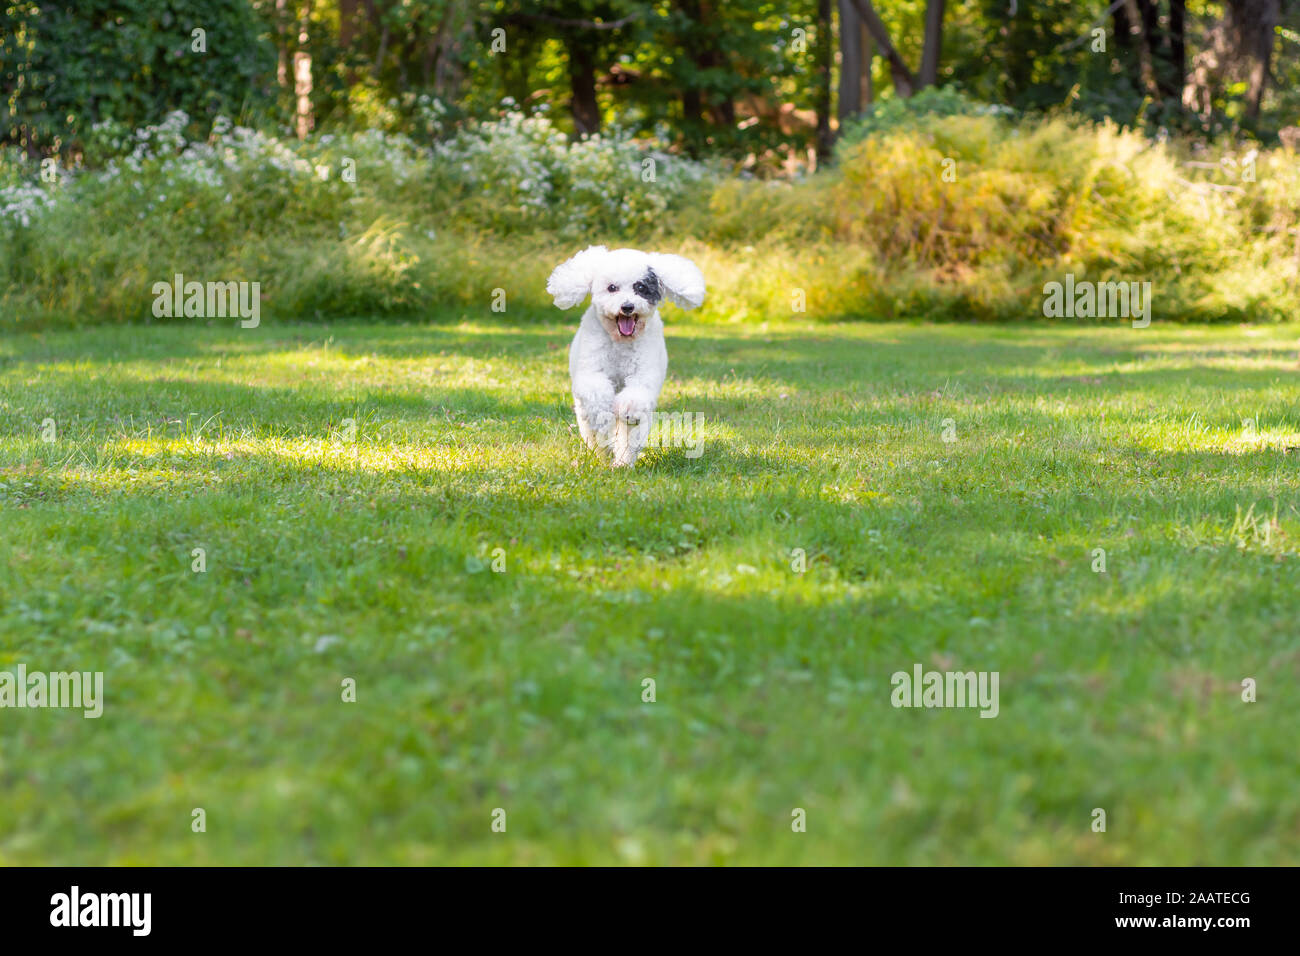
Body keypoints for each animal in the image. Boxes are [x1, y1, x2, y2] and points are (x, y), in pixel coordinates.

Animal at [543, 247, 707, 468]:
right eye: (612, 288)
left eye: (641, 287)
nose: (627, 307)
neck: (620, 341)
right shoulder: (590, 372)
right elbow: (596, 393)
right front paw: (602, 413)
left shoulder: (643, 377)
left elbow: (635, 398)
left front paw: (629, 410)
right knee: (594, 432)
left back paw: (622, 463)